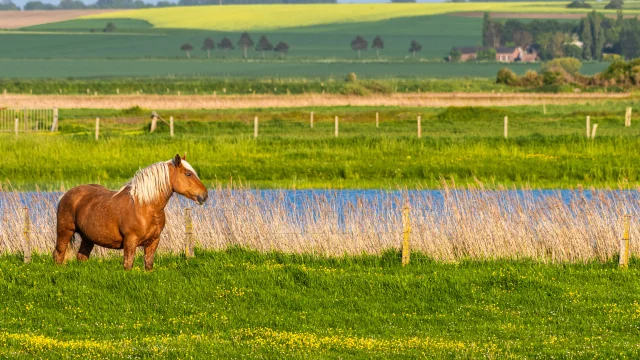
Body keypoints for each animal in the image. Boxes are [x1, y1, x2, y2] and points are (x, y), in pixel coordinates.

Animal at [54, 154, 208, 270]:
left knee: (81, 256)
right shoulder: (130, 241)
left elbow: (148, 264)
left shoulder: (153, 242)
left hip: (88, 238)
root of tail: (66, 195)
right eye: (188, 174)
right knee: (58, 254)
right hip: (65, 232)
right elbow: (128, 265)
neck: (145, 206)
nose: (204, 195)